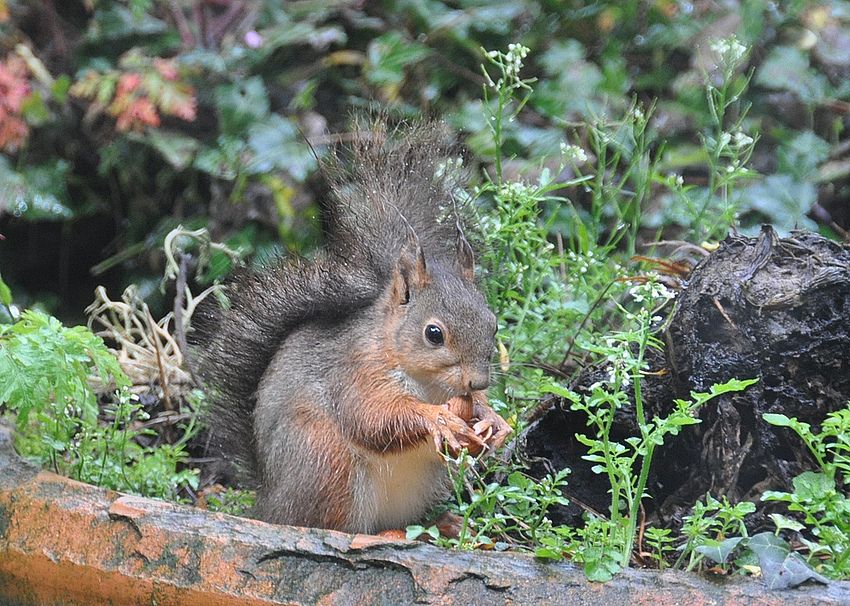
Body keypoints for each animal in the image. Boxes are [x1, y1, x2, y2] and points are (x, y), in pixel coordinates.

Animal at [193, 121, 510, 536]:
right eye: (434, 334)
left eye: (493, 324)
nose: (478, 382)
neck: (426, 381)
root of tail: (268, 505)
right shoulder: (355, 370)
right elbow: (372, 418)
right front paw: (436, 418)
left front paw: (493, 421)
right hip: (326, 463)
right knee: (329, 524)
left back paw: (446, 522)